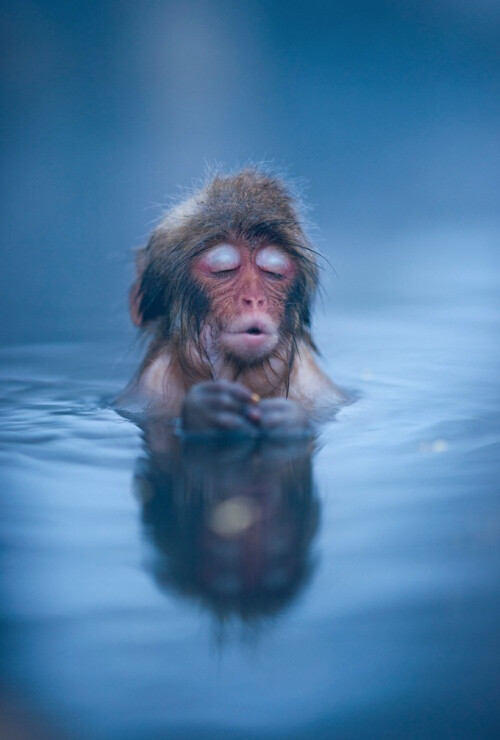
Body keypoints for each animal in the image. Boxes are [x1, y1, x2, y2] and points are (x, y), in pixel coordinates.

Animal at [117, 169, 344, 434]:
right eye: (223, 270)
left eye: (273, 273)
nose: (254, 299)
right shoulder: (149, 390)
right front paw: (207, 410)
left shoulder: (315, 386)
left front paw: (286, 420)